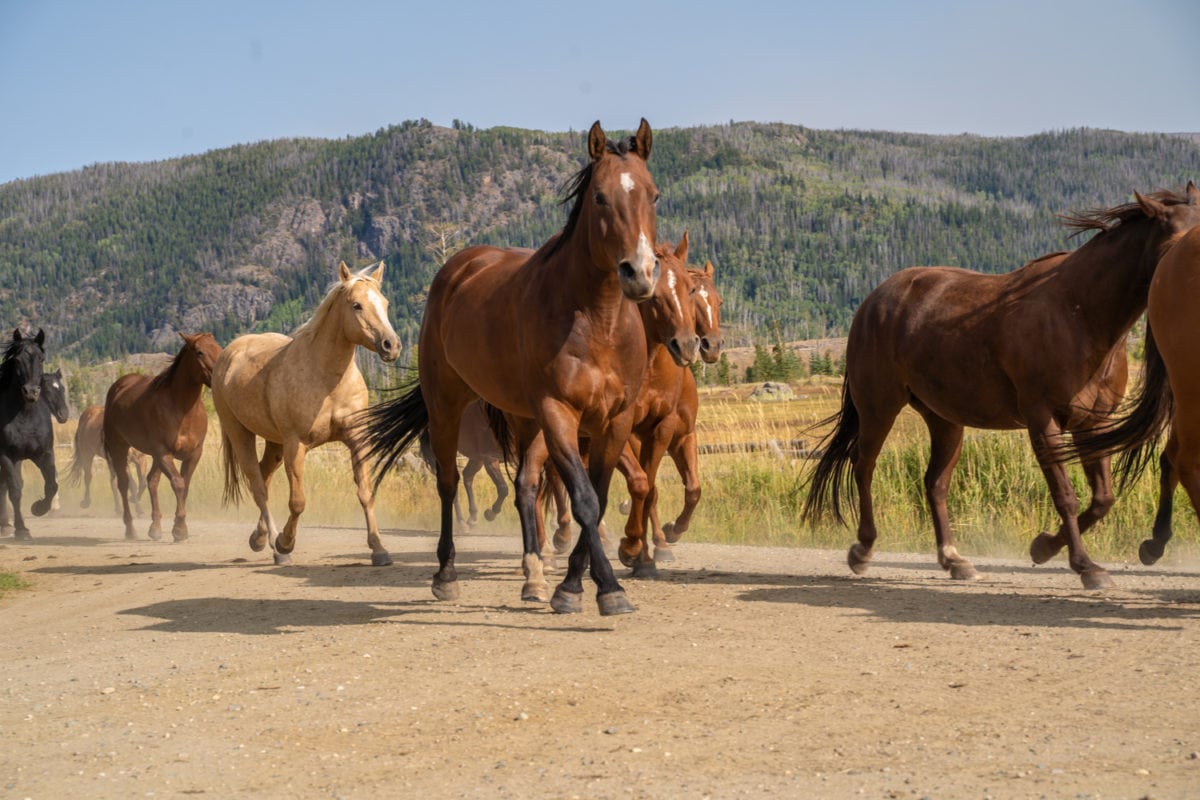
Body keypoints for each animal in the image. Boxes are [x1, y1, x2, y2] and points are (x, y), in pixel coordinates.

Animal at [0, 356, 66, 540]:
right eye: (47, 390)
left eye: (62, 389)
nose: (64, 414)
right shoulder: (6, 457)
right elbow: (14, 490)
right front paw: (21, 529)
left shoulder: (41, 455)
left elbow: (52, 485)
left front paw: (38, 508)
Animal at [103, 332, 223, 541]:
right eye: (199, 352)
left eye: (219, 347)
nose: (218, 375)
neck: (182, 410)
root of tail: (118, 387)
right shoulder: (164, 453)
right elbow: (178, 484)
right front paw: (180, 529)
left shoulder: (193, 454)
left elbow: (184, 485)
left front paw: (178, 527)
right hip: (120, 448)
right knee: (124, 484)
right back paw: (130, 529)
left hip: (153, 457)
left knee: (151, 481)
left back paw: (155, 528)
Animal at [212, 261, 400, 566]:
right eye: (357, 305)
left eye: (385, 303)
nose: (391, 345)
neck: (327, 381)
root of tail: (229, 353)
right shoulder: (296, 445)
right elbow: (298, 501)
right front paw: (286, 543)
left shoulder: (357, 440)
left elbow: (365, 492)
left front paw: (379, 549)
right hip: (240, 434)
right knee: (258, 485)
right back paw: (276, 548)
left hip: (274, 444)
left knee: (264, 476)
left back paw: (259, 538)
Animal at [363, 119, 661, 615]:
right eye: (600, 197)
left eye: (653, 195)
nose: (639, 273)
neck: (595, 322)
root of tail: (459, 266)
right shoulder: (559, 413)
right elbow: (584, 500)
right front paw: (604, 588)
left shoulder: (614, 421)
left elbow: (597, 499)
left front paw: (573, 583)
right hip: (448, 406)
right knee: (448, 483)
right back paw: (446, 575)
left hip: (524, 419)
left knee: (524, 485)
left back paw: (534, 576)